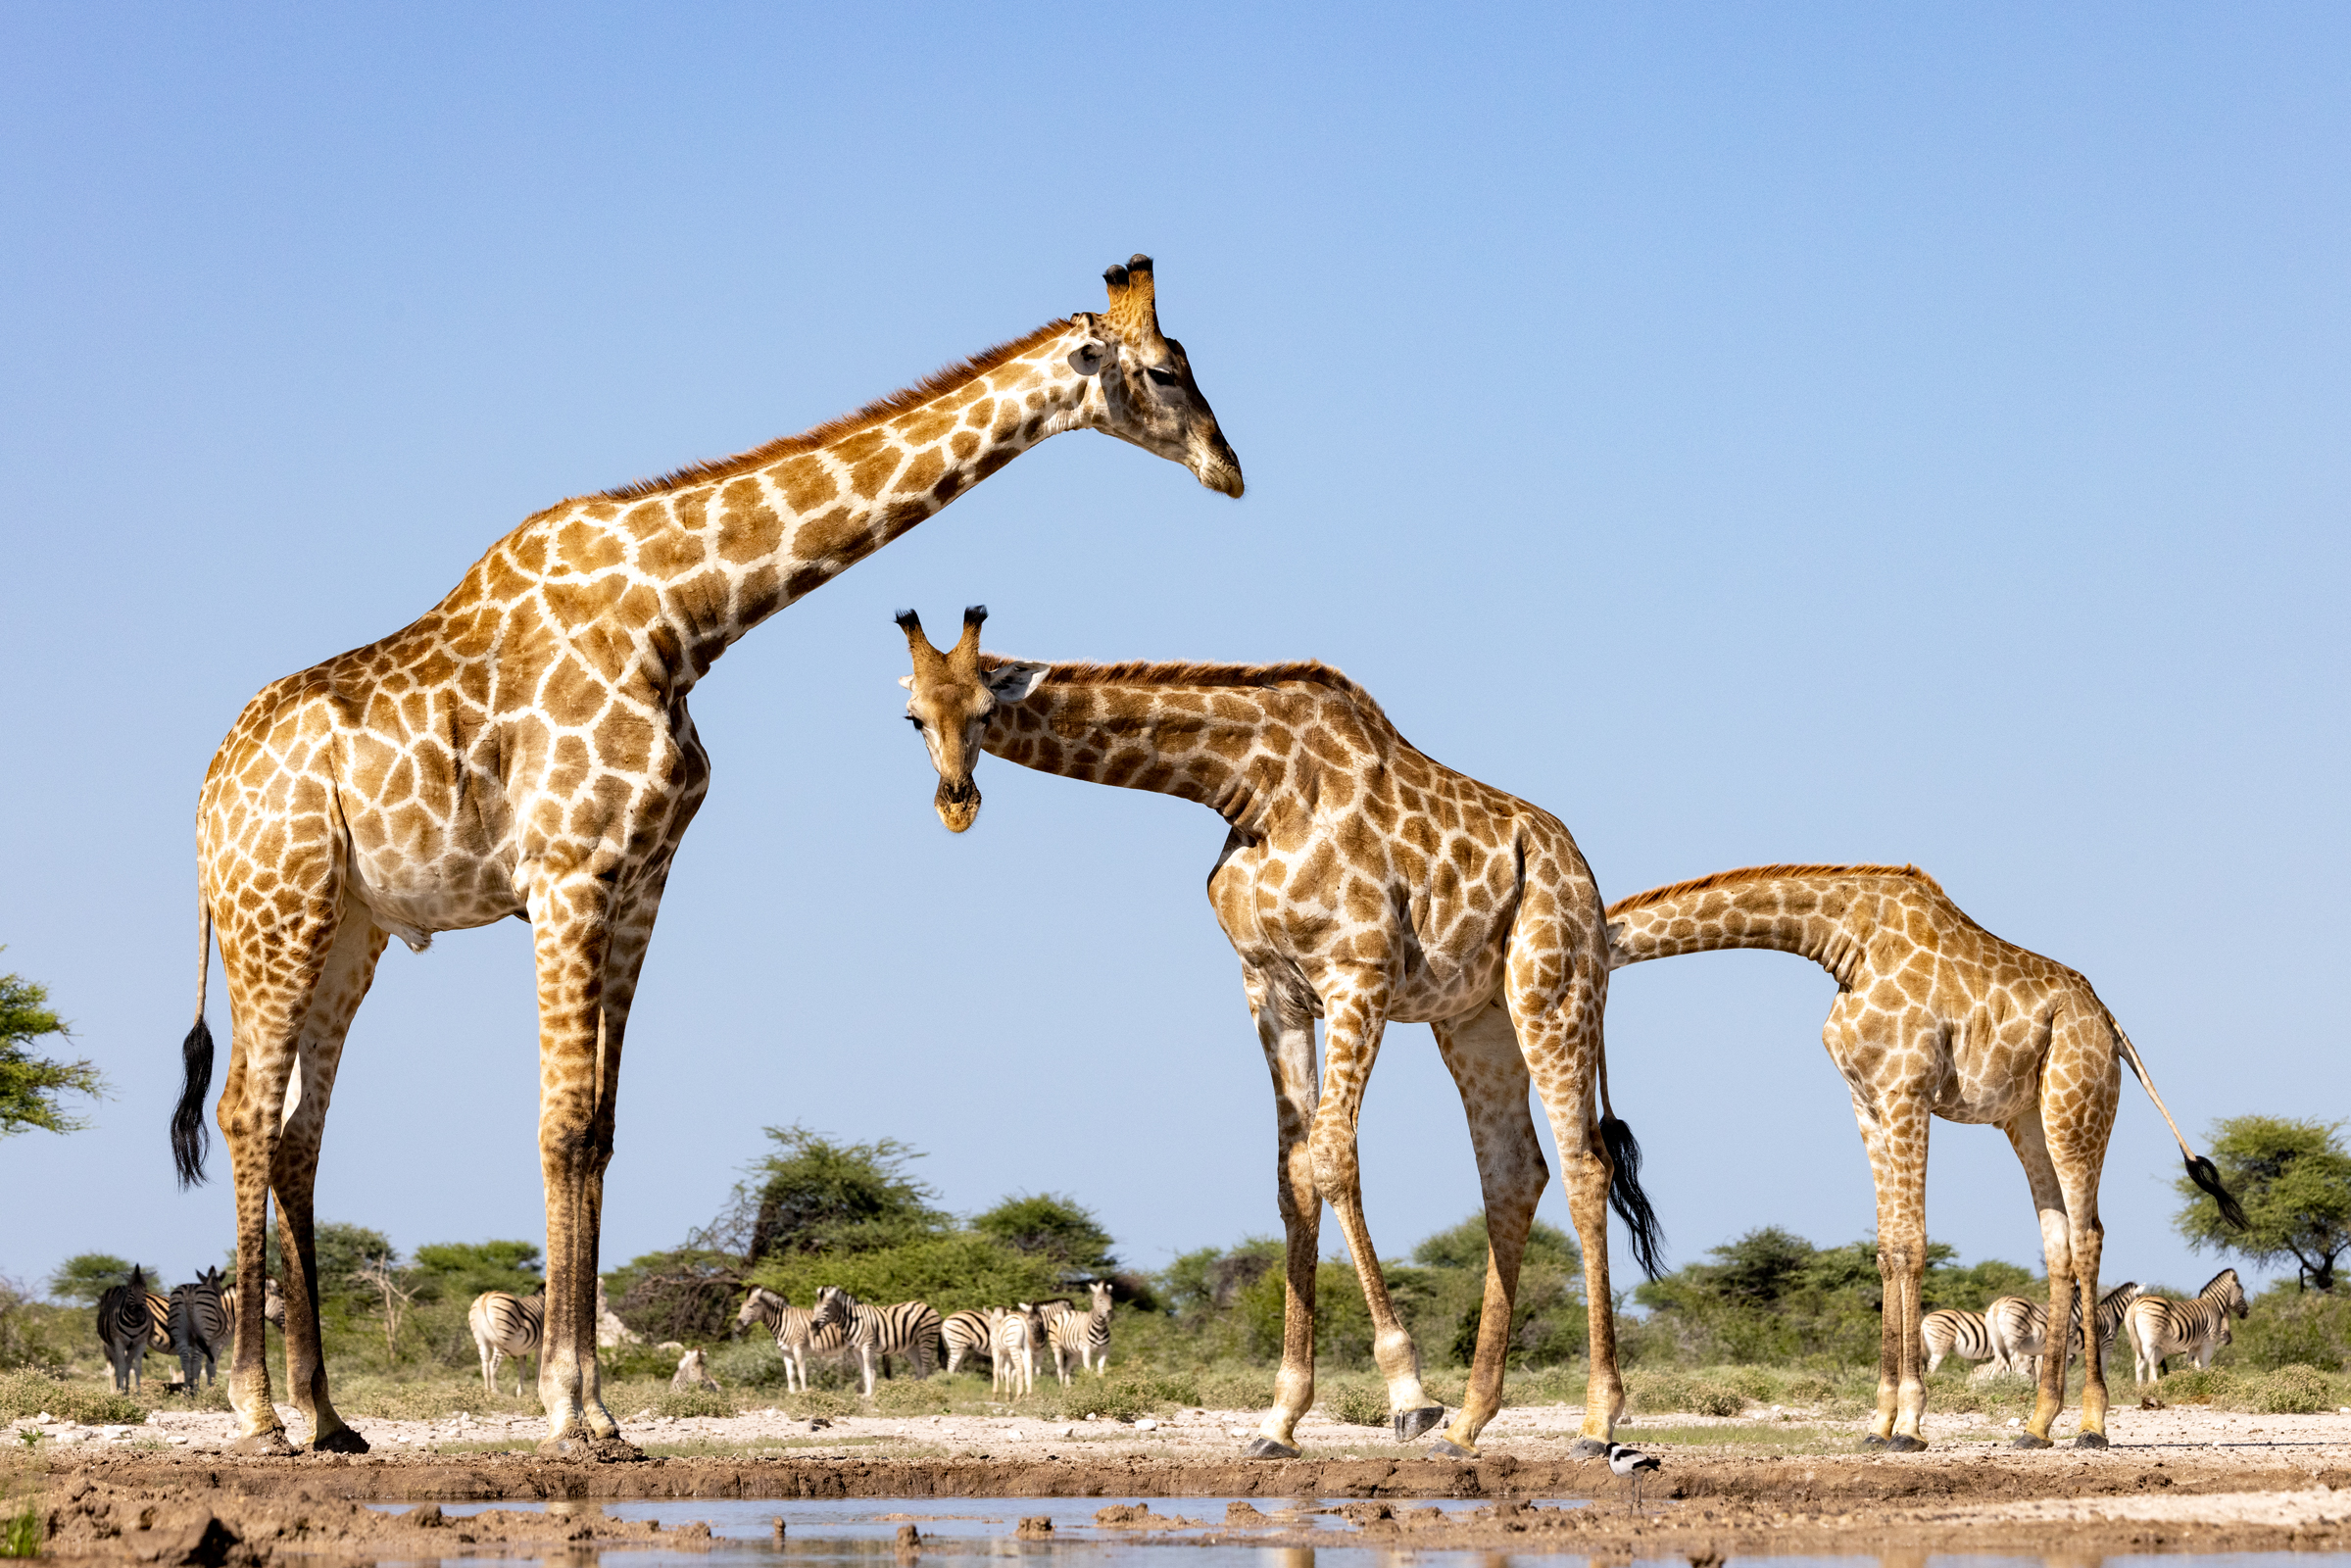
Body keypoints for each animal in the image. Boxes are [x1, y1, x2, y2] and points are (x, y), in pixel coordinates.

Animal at [813, 1288, 940, 1400]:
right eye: (814, 1308)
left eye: (825, 1308)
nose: (813, 1326)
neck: (851, 1321)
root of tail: (929, 1307)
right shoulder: (856, 1350)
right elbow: (865, 1371)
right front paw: (868, 1393)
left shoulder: (867, 1345)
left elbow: (868, 1370)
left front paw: (868, 1394)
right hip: (911, 1347)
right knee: (919, 1368)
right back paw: (912, 1389)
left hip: (926, 1338)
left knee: (925, 1367)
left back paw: (923, 1389)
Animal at [888, 606, 1664, 1466]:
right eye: (912, 716)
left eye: (985, 712)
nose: (956, 803)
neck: (1252, 788)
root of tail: (1582, 874)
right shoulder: (1269, 987)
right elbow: (1291, 1174)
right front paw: (1281, 1417)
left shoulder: (1356, 973)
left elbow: (1331, 1155)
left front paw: (1406, 1394)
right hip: (1474, 1018)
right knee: (1512, 1172)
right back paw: (1468, 1425)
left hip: (1552, 990)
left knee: (1584, 1164)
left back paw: (1594, 1422)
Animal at [1607, 864, 2247, 1457]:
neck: (1843, 940)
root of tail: (2110, 1023)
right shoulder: (1866, 1103)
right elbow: (1889, 1248)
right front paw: (1879, 1423)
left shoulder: (1906, 1093)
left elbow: (1914, 1245)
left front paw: (1910, 1426)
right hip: (2026, 1118)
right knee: (2058, 1240)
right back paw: (2038, 1426)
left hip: (2075, 1104)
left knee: (2088, 1235)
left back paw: (2092, 1426)